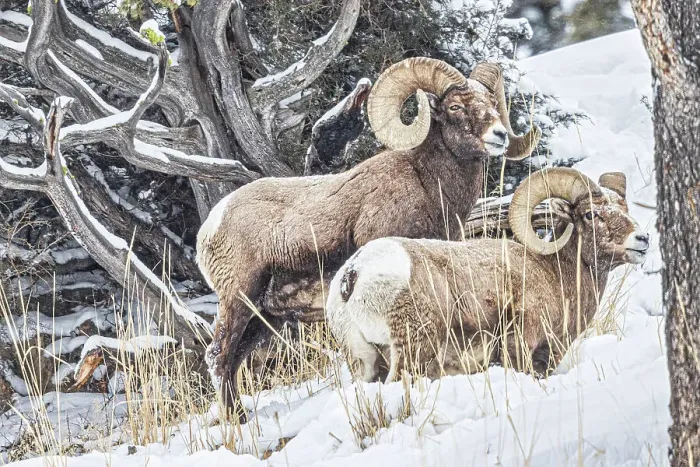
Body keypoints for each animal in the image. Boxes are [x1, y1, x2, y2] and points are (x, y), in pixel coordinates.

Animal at [196, 57, 541, 413]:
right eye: (455, 106)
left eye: (493, 105)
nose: (498, 135)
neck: (427, 184)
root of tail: (210, 227)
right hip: (239, 299)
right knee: (219, 357)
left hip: (265, 316)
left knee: (233, 360)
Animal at [326, 168, 650, 383]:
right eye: (590, 214)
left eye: (626, 209)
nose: (642, 239)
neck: (554, 273)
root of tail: (353, 276)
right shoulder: (523, 346)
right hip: (412, 352)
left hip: (364, 361)